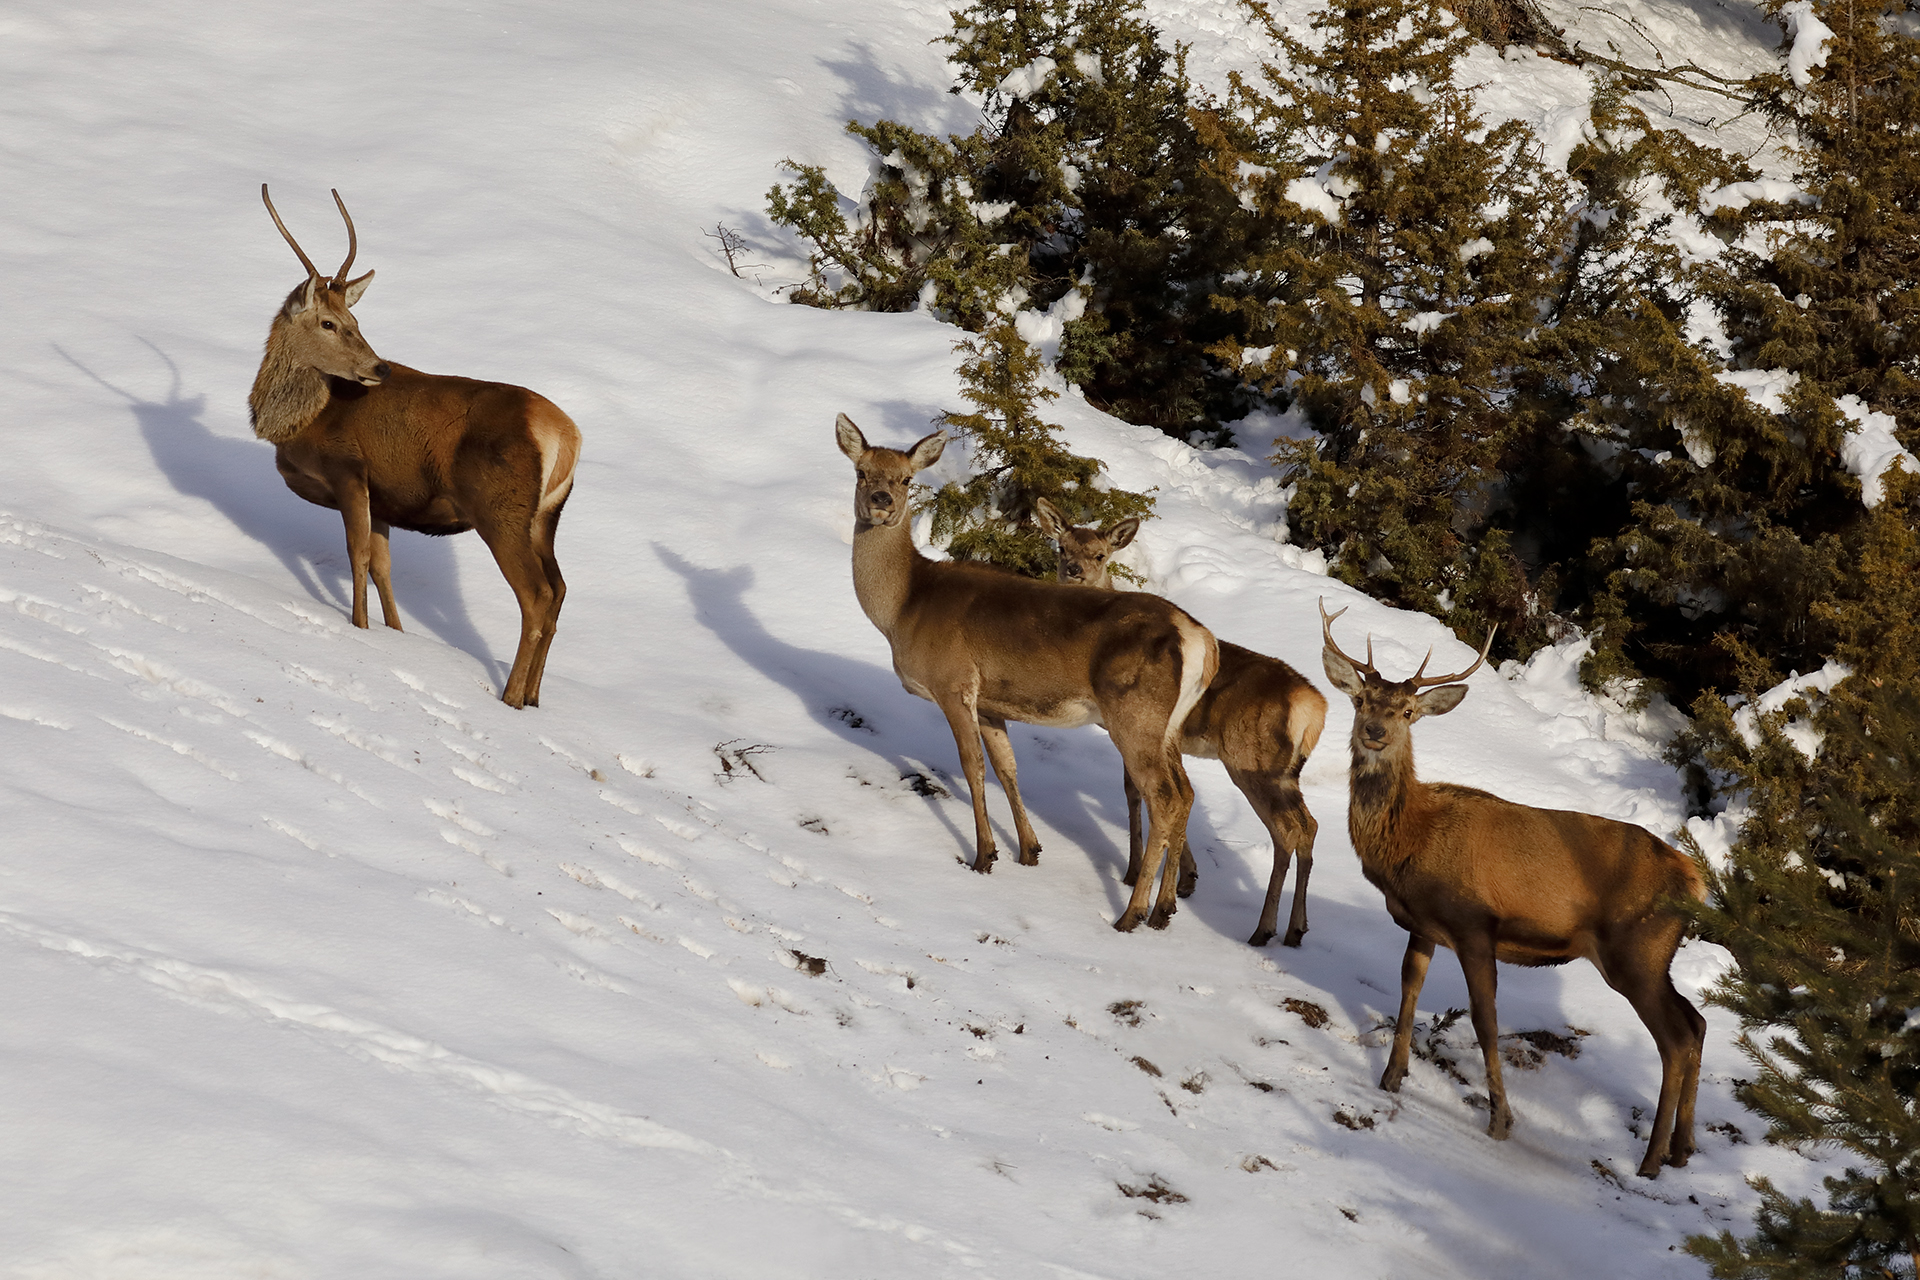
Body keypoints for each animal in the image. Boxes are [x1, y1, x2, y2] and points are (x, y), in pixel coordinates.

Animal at [249, 186, 580, 709]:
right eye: (329, 322)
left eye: (352, 318)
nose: (379, 367)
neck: (299, 423)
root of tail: (566, 436)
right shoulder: (385, 495)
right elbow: (384, 566)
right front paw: (395, 635)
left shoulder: (349, 468)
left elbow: (357, 555)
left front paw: (359, 627)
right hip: (546, 517)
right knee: (561, 589)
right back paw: (532, 697)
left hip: (501, 510)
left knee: (537, 595)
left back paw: (509, 697)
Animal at [835, 415, 1219, 931]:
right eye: (861, 473)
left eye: (906, 479)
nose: (881, 500)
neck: (904, 610)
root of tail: (1200, 639)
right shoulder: (991, 702)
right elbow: (1007, 767)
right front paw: (1029, 850)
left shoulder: (953, 681)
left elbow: (972, 766)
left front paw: (983, 856)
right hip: (1167, 725)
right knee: (1184, 791)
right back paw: (1164, 907)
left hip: (1135, 713)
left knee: (1166, 798)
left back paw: (1132, 914)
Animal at [1034, 498, 1327, 947]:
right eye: (1061, 547)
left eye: (1100, 555)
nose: (1074, 570)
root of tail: (1316, 707)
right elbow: (1162, 796)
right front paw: (1183, 880)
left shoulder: (1134, 729)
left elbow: (1140, 794)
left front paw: (1141, 876)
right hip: (1285, 772)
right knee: (1307, 827)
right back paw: (1294, 929)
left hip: (1252, 762)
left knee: (1287, 832)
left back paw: (1264, 928)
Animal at [1318, 600, 1706, 1178]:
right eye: (1362, 699)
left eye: (1407, 712)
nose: (1373, 732)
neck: (1411, 838)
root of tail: (1697, 881)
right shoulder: (1423, 924)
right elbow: (1409, 988)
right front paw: (1391, 1077)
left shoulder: (1475, 925)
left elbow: (1485, 1020)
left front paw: (1501, 1120)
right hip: (1656, 958)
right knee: (1697, 1022)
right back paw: (1681, 1151)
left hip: (1635, 951)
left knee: (1676, 1041)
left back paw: (1651, 1160)